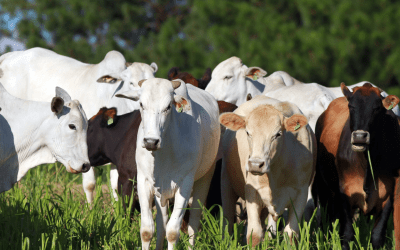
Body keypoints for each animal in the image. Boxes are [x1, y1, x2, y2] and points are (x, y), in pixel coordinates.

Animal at [117, 77, 220, 248]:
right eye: (141, 104)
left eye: (168, 107)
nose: (151, 141)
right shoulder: (144, 181)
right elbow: (147, 230)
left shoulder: (185, 184)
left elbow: (172, 232)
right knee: (161, 223)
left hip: (205, 177)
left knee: (193, 222)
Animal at [219, 95, 316, 246]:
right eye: (248, 132)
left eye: (278, 134)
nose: (255, 164)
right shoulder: (252, 192)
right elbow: (254, 234)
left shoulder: (301, 194)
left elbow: (290, 234)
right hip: (226, 183)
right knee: (228, 219)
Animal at [312, 82, 400, 250]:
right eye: (351, 106)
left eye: (376, 108)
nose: (360, 137)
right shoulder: (346, 192)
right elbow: (347, 234)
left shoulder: (387, 196)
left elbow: (377, 236)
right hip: (323, 187)